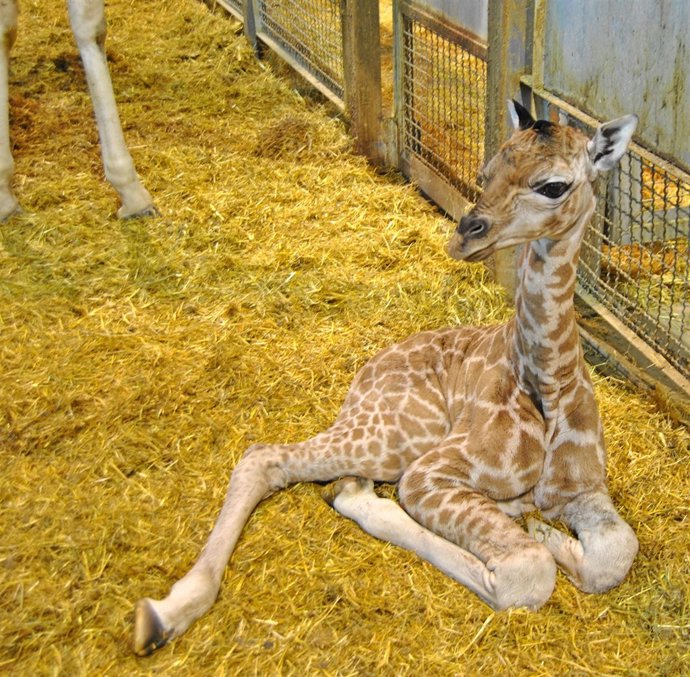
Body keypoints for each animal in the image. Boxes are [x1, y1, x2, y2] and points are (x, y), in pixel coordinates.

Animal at [133, 100, 639, 655]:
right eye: (484, 172)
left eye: (553, 186)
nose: (464, 234)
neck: (549, 380)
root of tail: (364, 374)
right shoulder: (429, 472)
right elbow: (527, 569)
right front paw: (544, 536)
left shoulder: (584, 490)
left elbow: (616, 550)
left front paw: (552, 533)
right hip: (397, 436)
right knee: (263, 456)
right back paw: (165, 612)